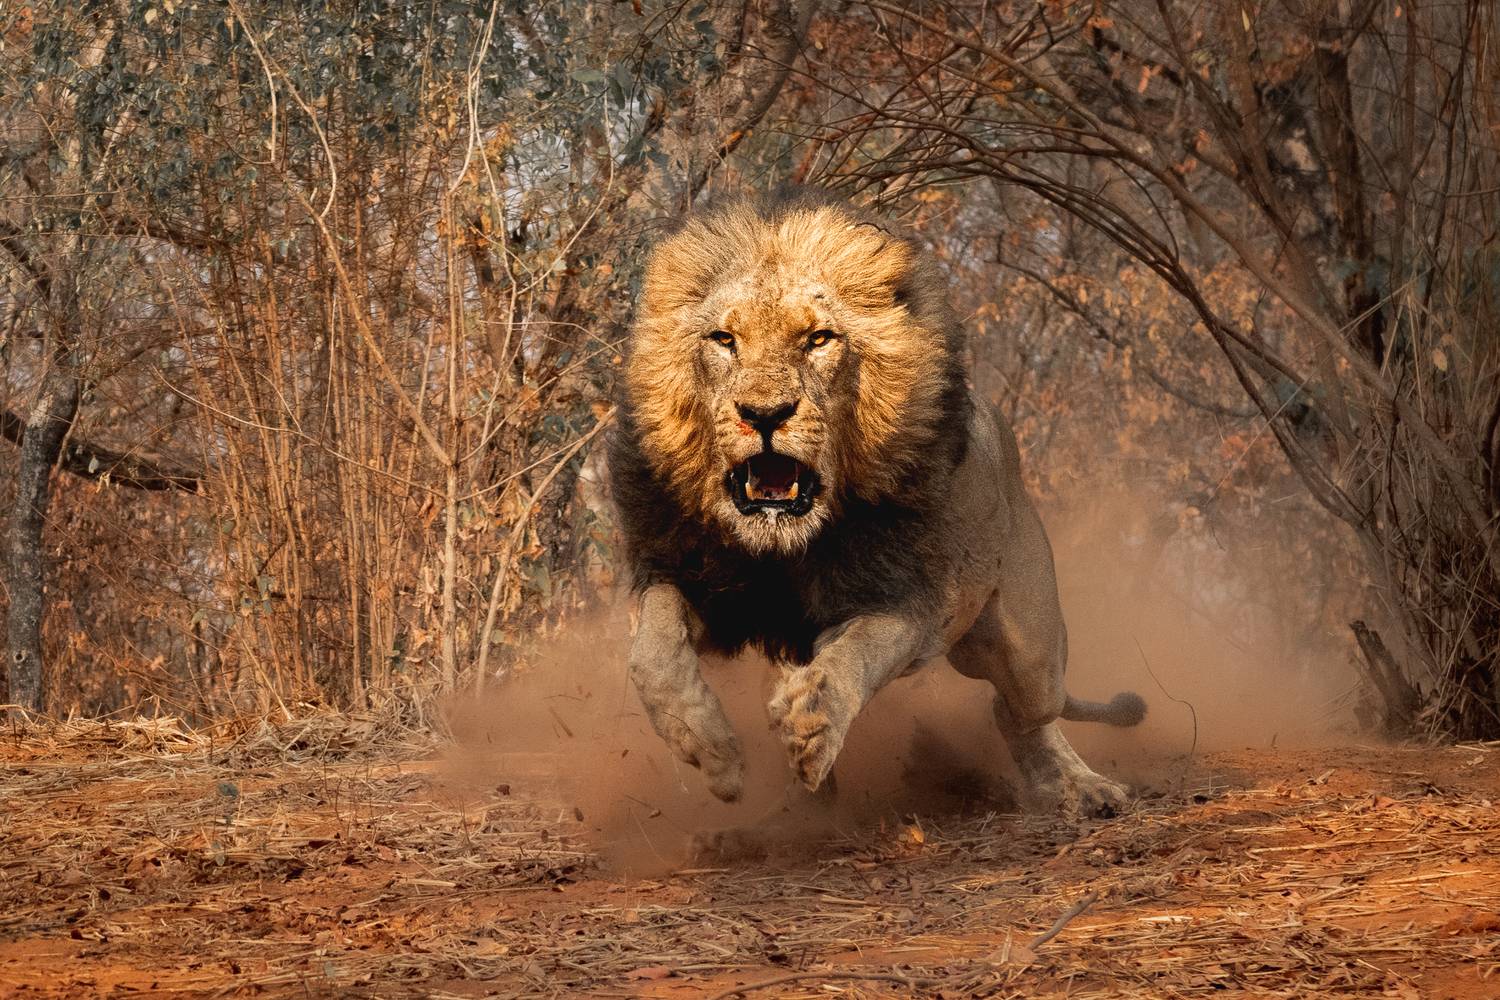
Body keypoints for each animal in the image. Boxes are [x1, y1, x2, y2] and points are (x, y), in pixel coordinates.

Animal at [607, 191, 1145, 819]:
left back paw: (1084, 786)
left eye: (819, 339)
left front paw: (810, 726)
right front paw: (713, 752)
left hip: (1029, 648)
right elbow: (652, 655)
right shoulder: (688, 573)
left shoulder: (905, 601)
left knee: (1023, 709)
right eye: (723, 339)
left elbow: (852, 656)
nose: (764, 414)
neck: (783, 550)